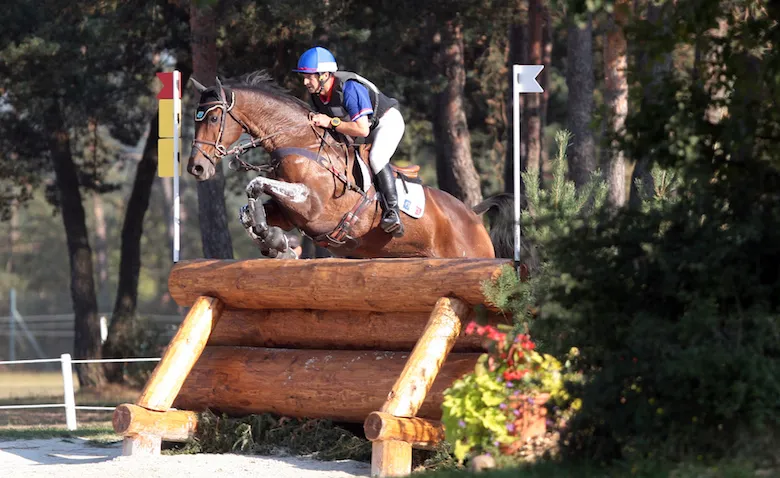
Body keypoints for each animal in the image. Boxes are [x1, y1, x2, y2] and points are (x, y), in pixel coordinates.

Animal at [187, 71, 525, 262]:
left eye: (214, 118)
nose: (196, 169)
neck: (299, 142)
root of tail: (473, 216)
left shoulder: (313, 206)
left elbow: (254, 185)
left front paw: (275, 242)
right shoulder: (289, 212)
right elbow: (250, 211)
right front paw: (274, 242)